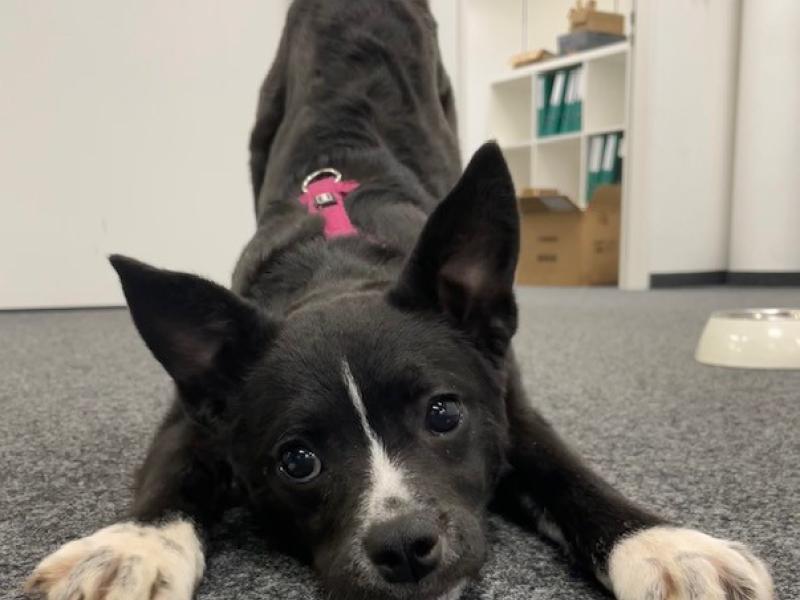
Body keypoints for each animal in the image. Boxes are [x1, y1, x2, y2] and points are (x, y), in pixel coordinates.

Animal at [26, 1, 774, 599]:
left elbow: (572, 475)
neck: (337, 272)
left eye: (444, 413)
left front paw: (665, 548)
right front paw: (128, 549)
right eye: (297, 460)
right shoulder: (195, 411)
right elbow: (171, 472)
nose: (405, 545)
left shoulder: (506, 397)